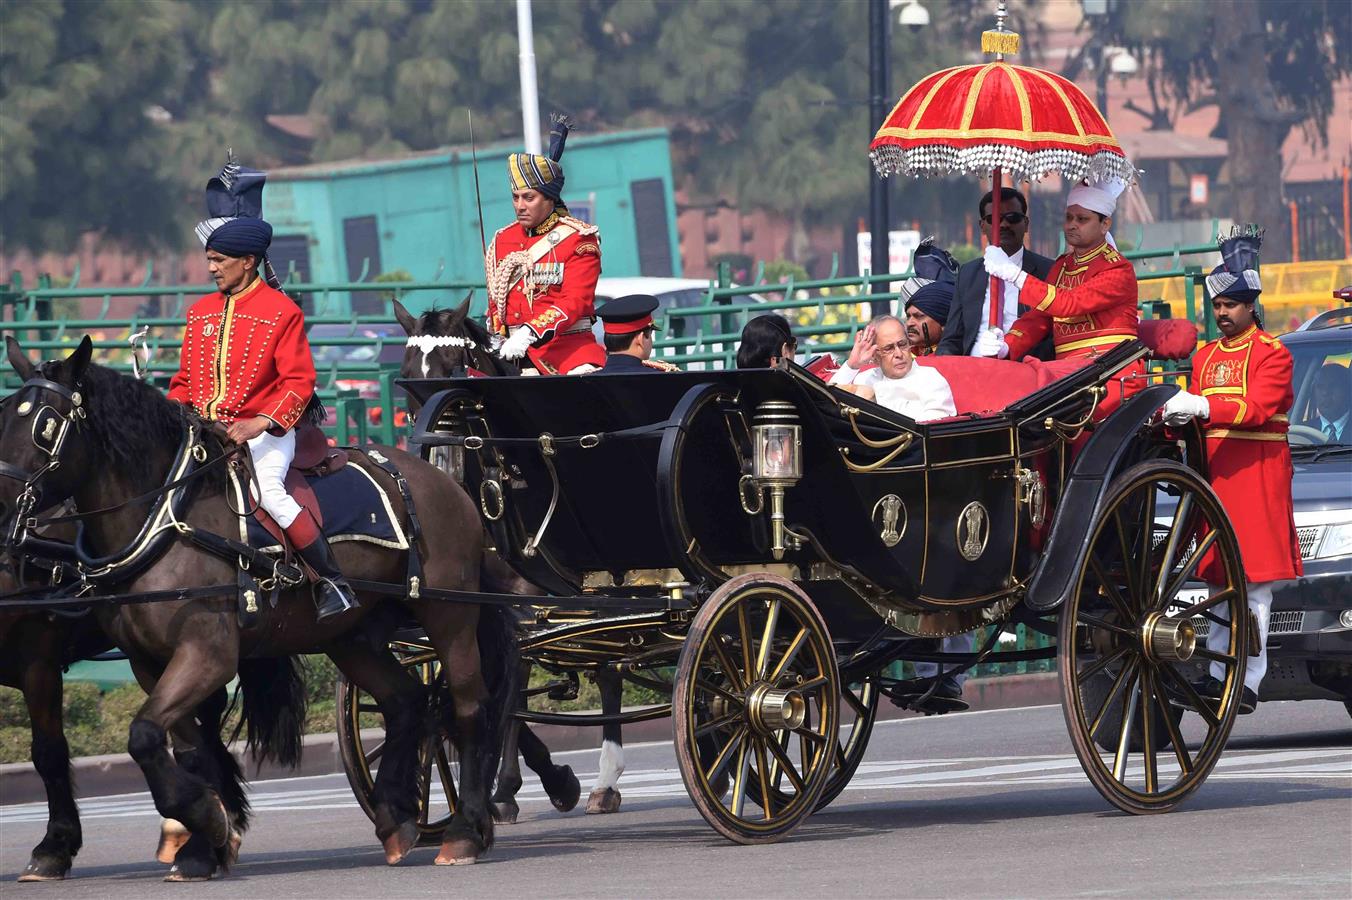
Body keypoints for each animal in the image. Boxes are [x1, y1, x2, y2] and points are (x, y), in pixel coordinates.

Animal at [0, 336, 516, 875]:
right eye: (2, 416)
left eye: (45, 427)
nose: (2, 502)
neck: (168, 518)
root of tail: (444, 483)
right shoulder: (148, 662)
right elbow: (184, 748)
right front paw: (205, 836)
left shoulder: (203, 655)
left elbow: (137, 737)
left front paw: (202, 823)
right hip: (352, 635)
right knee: (406, 701)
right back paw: (396, 816)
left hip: (449, 617)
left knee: (467, 707)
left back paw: (464, 830)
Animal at [394, 297, 630, 816]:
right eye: (407, 378)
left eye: (454, 368)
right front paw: (537, 778)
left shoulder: (525, 597)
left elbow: (514, 680)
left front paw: (508, 785)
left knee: (613, 667)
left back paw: (607, 776)